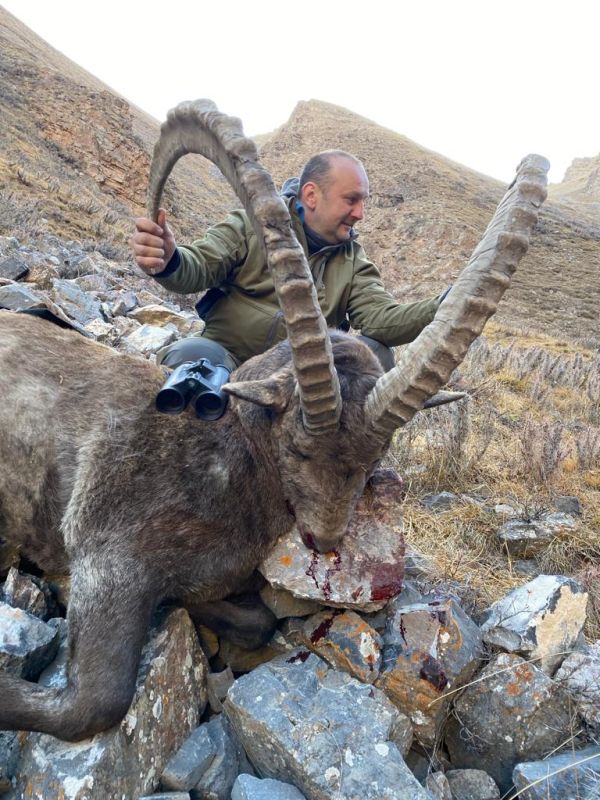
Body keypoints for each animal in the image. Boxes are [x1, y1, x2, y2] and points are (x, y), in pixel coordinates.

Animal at [0, 99, 548, 740]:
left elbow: (256, 618)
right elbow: (98, 703)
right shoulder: (106, 559)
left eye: (372, 463)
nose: (325, 540)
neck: (228, 461)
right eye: (299, 449)